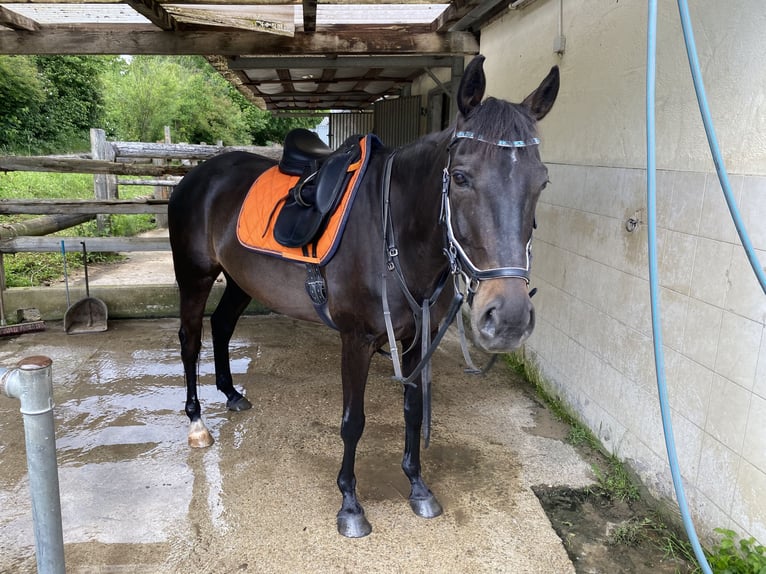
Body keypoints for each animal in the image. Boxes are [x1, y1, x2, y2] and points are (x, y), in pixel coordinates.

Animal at [168, 55, 560, 540]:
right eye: (461, 177)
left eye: (541, 182)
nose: (507, 318)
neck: (396, 235)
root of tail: (197, 174)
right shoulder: (355, 340)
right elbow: (353, 422)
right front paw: (350, 505)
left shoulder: (417, 340)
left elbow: (413, 410)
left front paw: (418, 486)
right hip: (195, 276)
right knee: (190, 340)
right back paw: (197, 423)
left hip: (241, 280)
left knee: (221, 326)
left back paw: (232, 394)